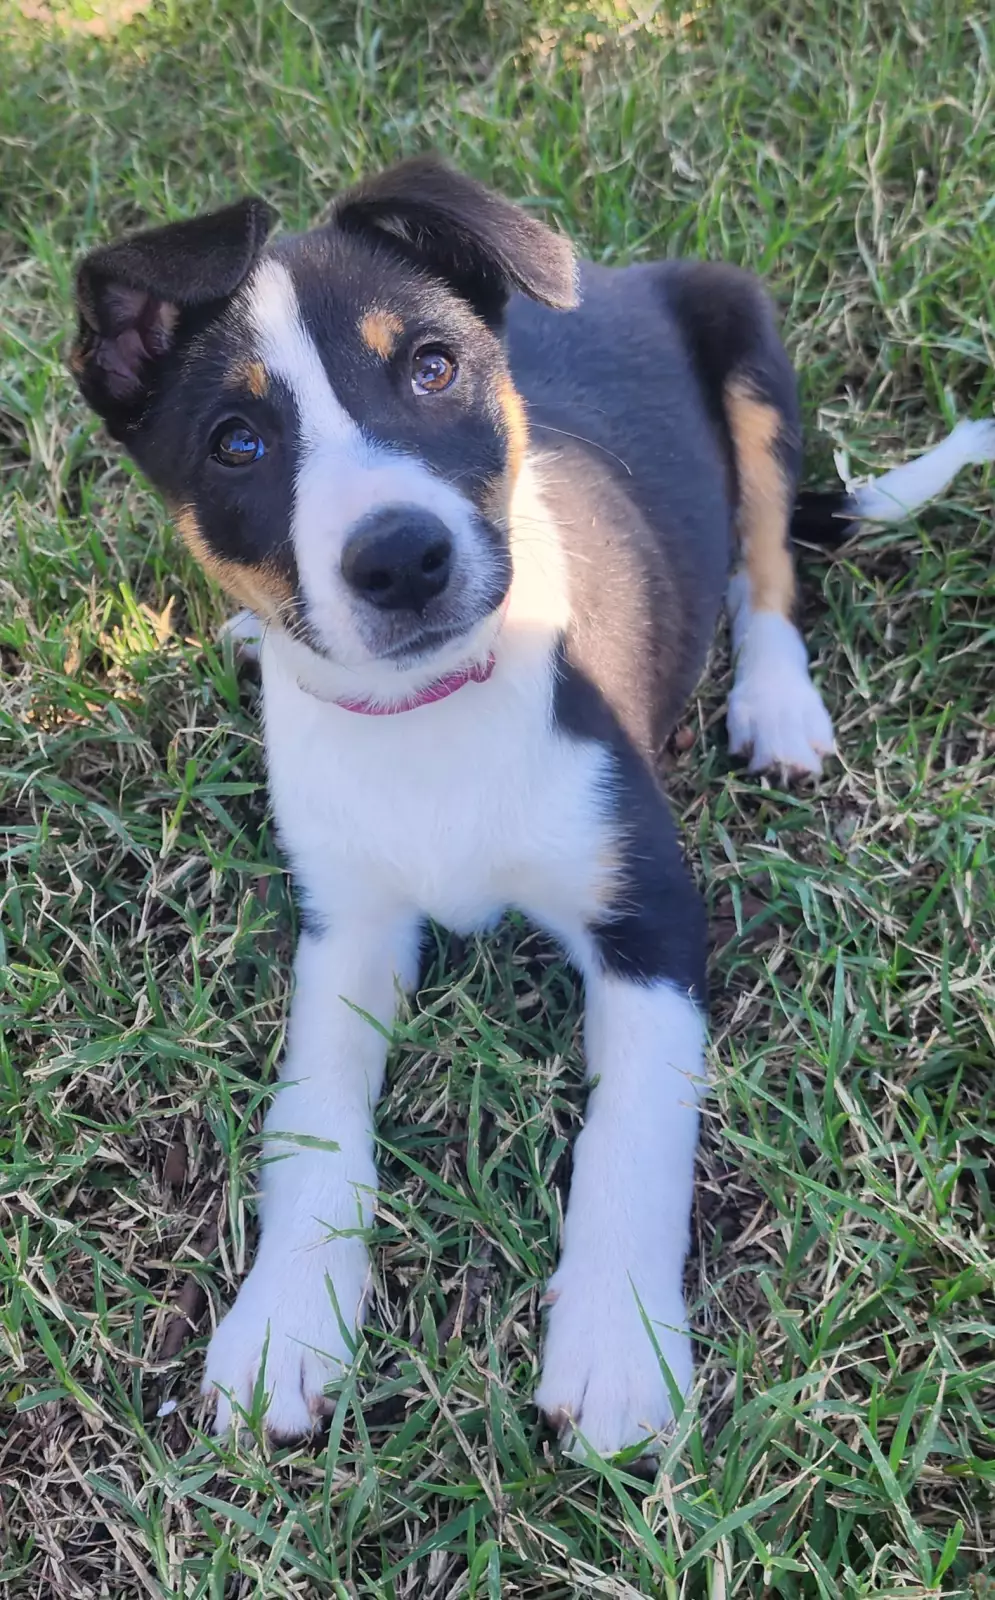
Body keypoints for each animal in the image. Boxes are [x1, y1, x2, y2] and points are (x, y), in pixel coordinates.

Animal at [70, 158, 995, 1455]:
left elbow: (631, 1135)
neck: (430, 713)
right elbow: (310, 1119)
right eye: (235, 441)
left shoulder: (649, 914)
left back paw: (774, 701)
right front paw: (285, 1319)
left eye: (430, 366)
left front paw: (616, 1346)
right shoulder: (344, 927)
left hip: (751, 360)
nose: (401, 558)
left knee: (764, 561)